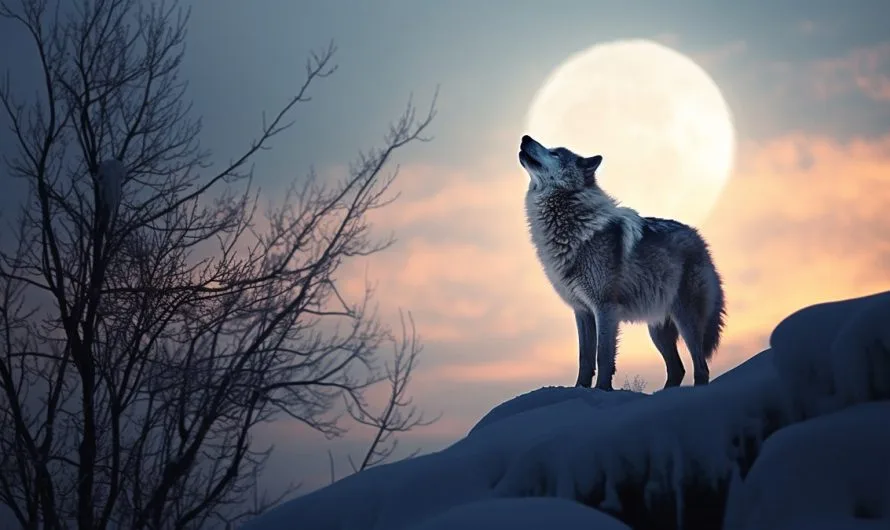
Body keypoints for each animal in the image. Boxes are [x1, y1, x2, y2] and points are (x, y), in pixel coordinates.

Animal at [518, 135, 726, 391]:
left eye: (555, 153)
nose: (525, 137)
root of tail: (700, 240)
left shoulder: (605, 308)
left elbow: (603, 356)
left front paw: (602, 391)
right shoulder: (582, 311)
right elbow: (584, 358)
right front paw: (579, 390)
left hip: (685, 319)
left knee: (701, 366)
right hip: (657, 330)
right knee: (678, 368)